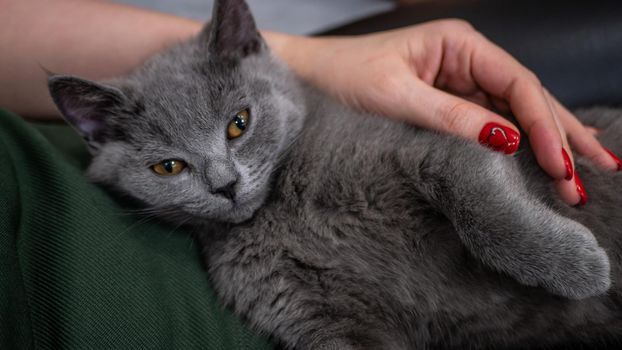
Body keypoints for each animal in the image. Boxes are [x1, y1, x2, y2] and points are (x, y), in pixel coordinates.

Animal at [48, 1, 622, 348]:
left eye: (238, 124)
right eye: (169, 166)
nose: (225, 185)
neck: (284, 206)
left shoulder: (445, 142)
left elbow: (483, 207)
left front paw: (577, 268)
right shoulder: (312, 315)